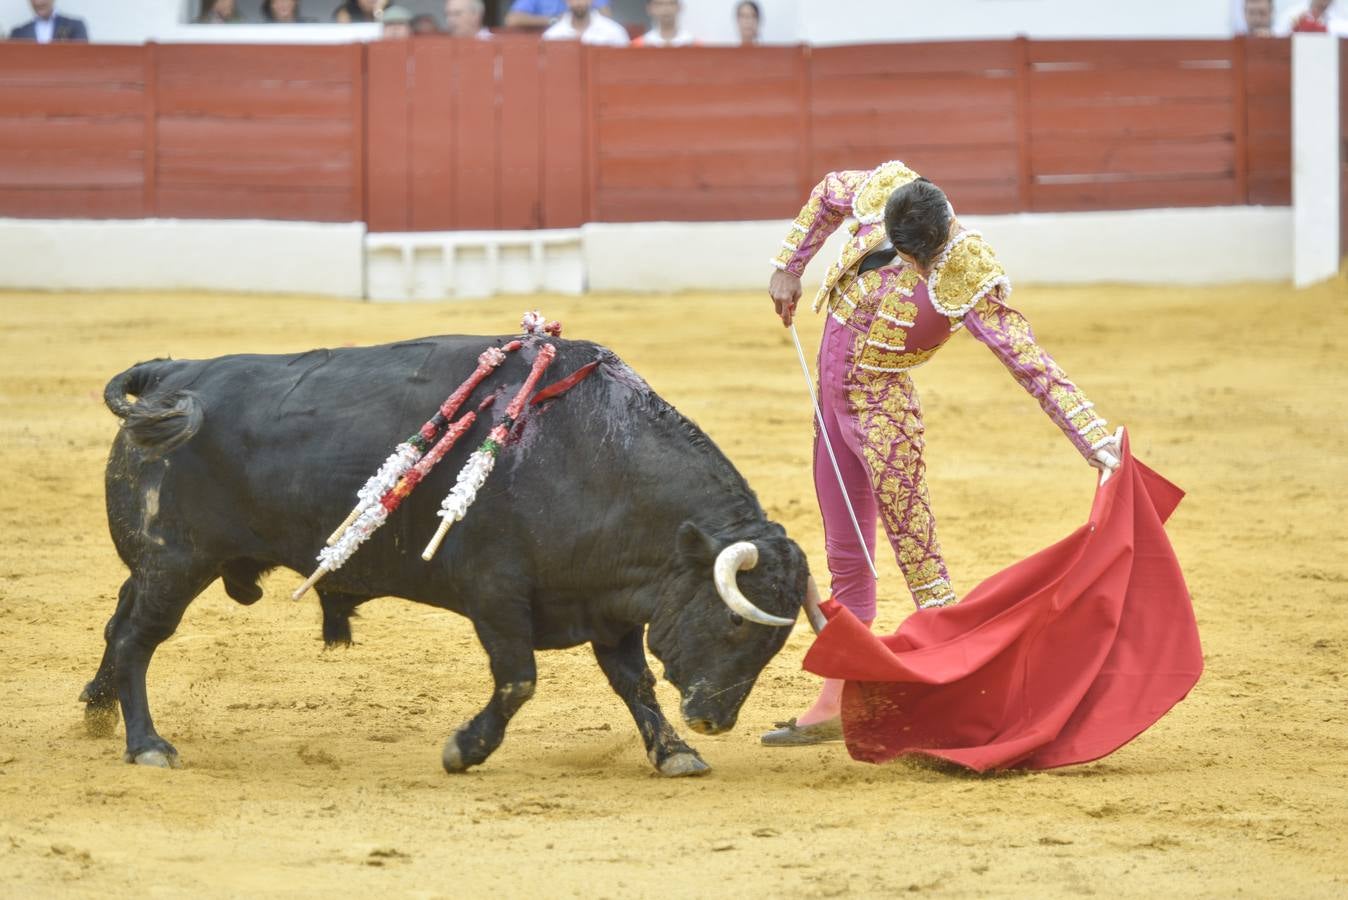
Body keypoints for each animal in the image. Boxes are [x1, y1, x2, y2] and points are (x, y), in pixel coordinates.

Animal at [89, 334, 819, 776]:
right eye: (734, 623)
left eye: (774, 644)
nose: (715, 719)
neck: (593, 456)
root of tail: (173, 373)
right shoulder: (496, 595)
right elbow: (519, 678)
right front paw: (463, 750)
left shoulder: (607, 604)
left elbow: (633, 682)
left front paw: (674, 752)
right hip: (176, 564)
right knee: (135, 639)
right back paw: (146, 745)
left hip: (156, 567)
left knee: (118, 622)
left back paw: (97, 712)